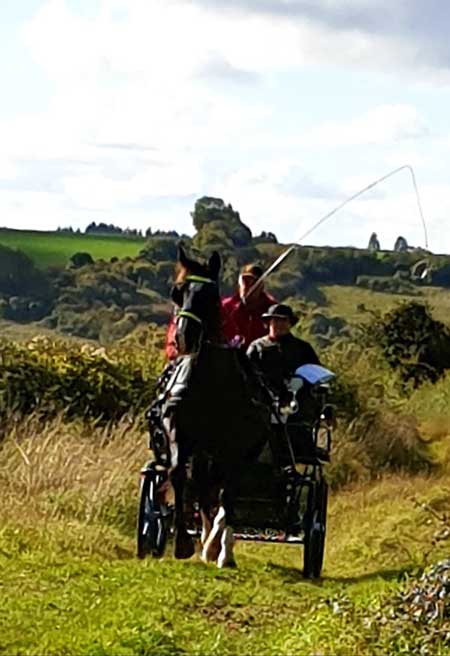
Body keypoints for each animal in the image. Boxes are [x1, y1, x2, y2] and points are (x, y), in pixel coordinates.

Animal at [163, 247, 272, 568]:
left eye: (210, 295)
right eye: (177, 292)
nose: (184, 337)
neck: (211, 383)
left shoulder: (236, 448)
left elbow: (228, 495)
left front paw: (221, 550)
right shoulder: (179, 430)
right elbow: (178, 474)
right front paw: (184, 543)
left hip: (239, 452)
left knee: (225, 490)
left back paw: (218, 545)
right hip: (204, 451)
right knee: (203, 485)